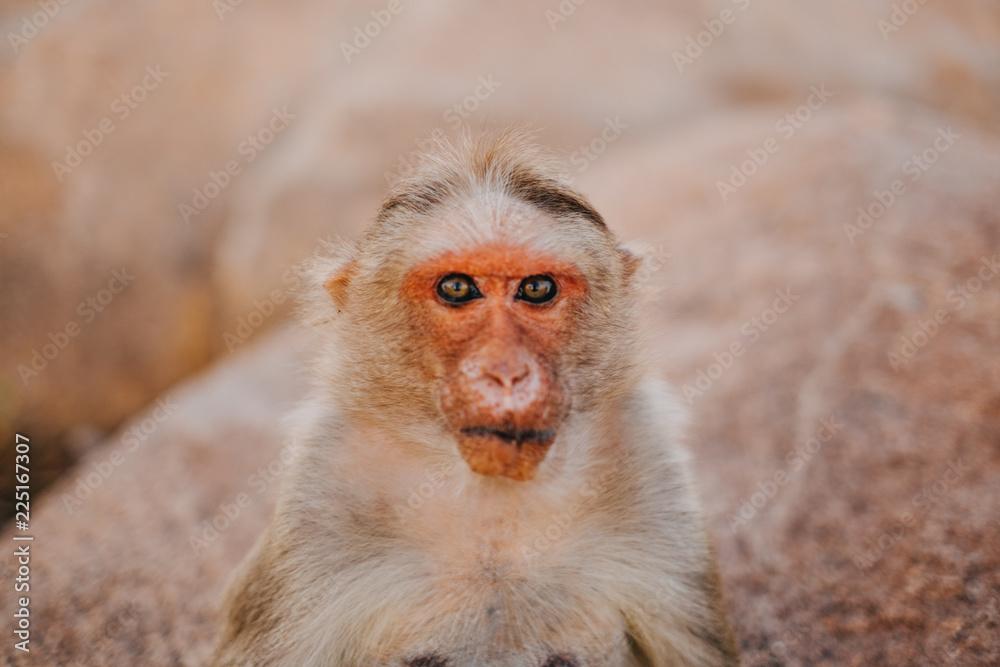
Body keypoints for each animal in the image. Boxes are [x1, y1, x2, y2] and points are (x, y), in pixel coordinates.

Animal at [211, 129, 740, 667]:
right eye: (458, 288)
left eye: (536, 288)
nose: (505, 373)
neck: (492, 503)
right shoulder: (321, 494)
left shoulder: (647, 461)